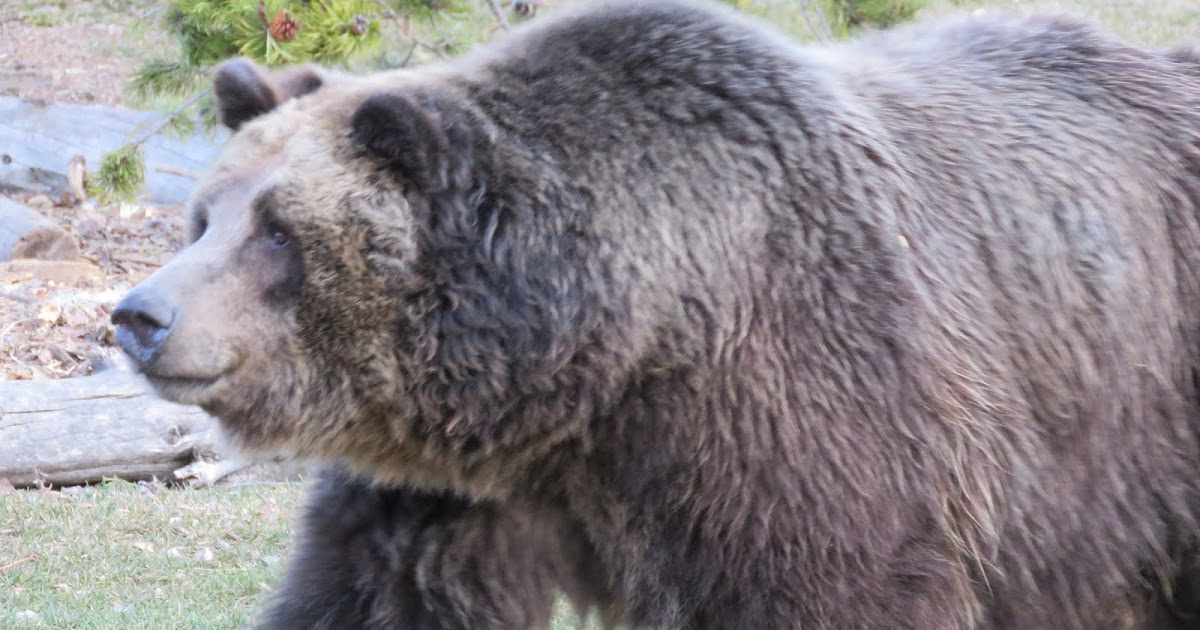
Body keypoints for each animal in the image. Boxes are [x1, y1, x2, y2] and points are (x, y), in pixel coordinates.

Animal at [109, 0, 1200, 628]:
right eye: (205, 214)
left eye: (278, 232)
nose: (138, 315)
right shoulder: (451, 493)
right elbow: (373, 597)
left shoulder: (805, 414)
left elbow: (836, 586)